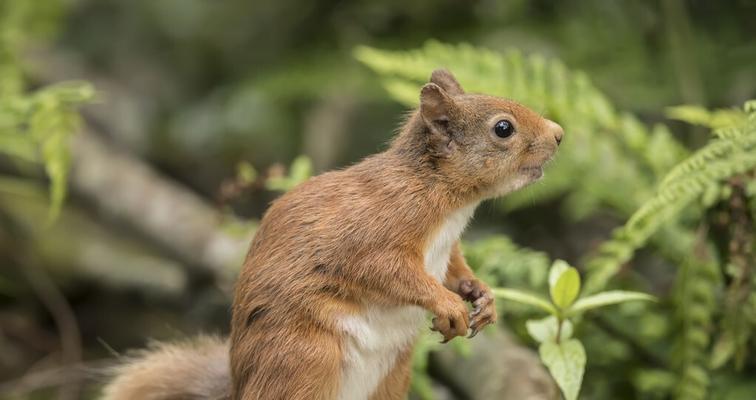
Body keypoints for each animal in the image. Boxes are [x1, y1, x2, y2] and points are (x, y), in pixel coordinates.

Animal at [100, 69, 560, 400]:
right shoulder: (374, 230)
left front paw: (483, 296)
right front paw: (448, 304)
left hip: (391, 377)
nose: (558, 134)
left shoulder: (447, 251)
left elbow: (456, 270)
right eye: (503, 128)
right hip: (304, 359)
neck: (446, 202)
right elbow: (389, 272)